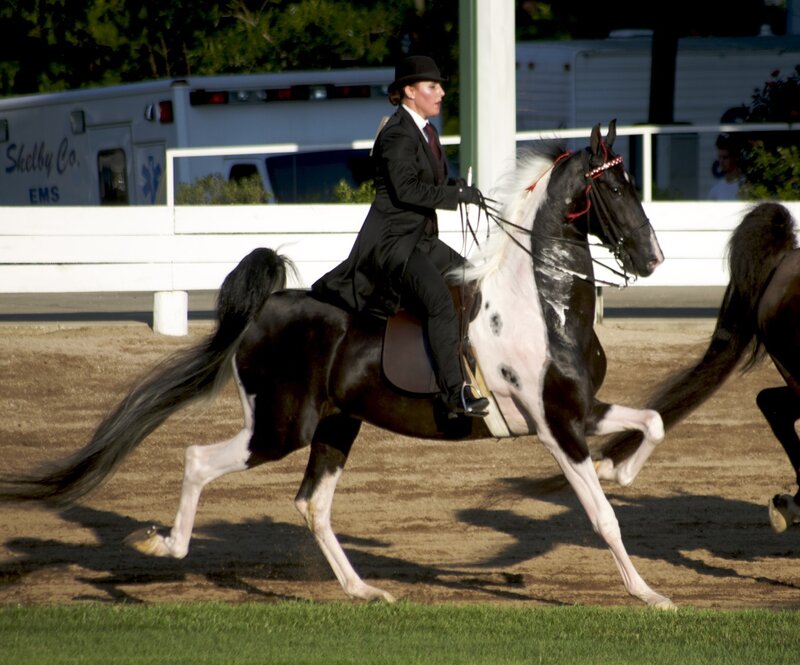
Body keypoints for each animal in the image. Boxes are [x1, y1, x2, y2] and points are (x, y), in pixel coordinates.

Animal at [0, 122, 672, 608]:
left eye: (633, 183)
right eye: (614, 189)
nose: (653, 259)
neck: (540, 304)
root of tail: (267, 308)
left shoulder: (579, 409)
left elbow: (653, 422)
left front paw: (620, 470)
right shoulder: (556, 426)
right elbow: (603, 518)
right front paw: (650, 595)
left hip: (335, 423)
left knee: (312, 505)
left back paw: (363, 590)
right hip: (280, 428)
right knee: (200, 461)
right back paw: (163, 547)